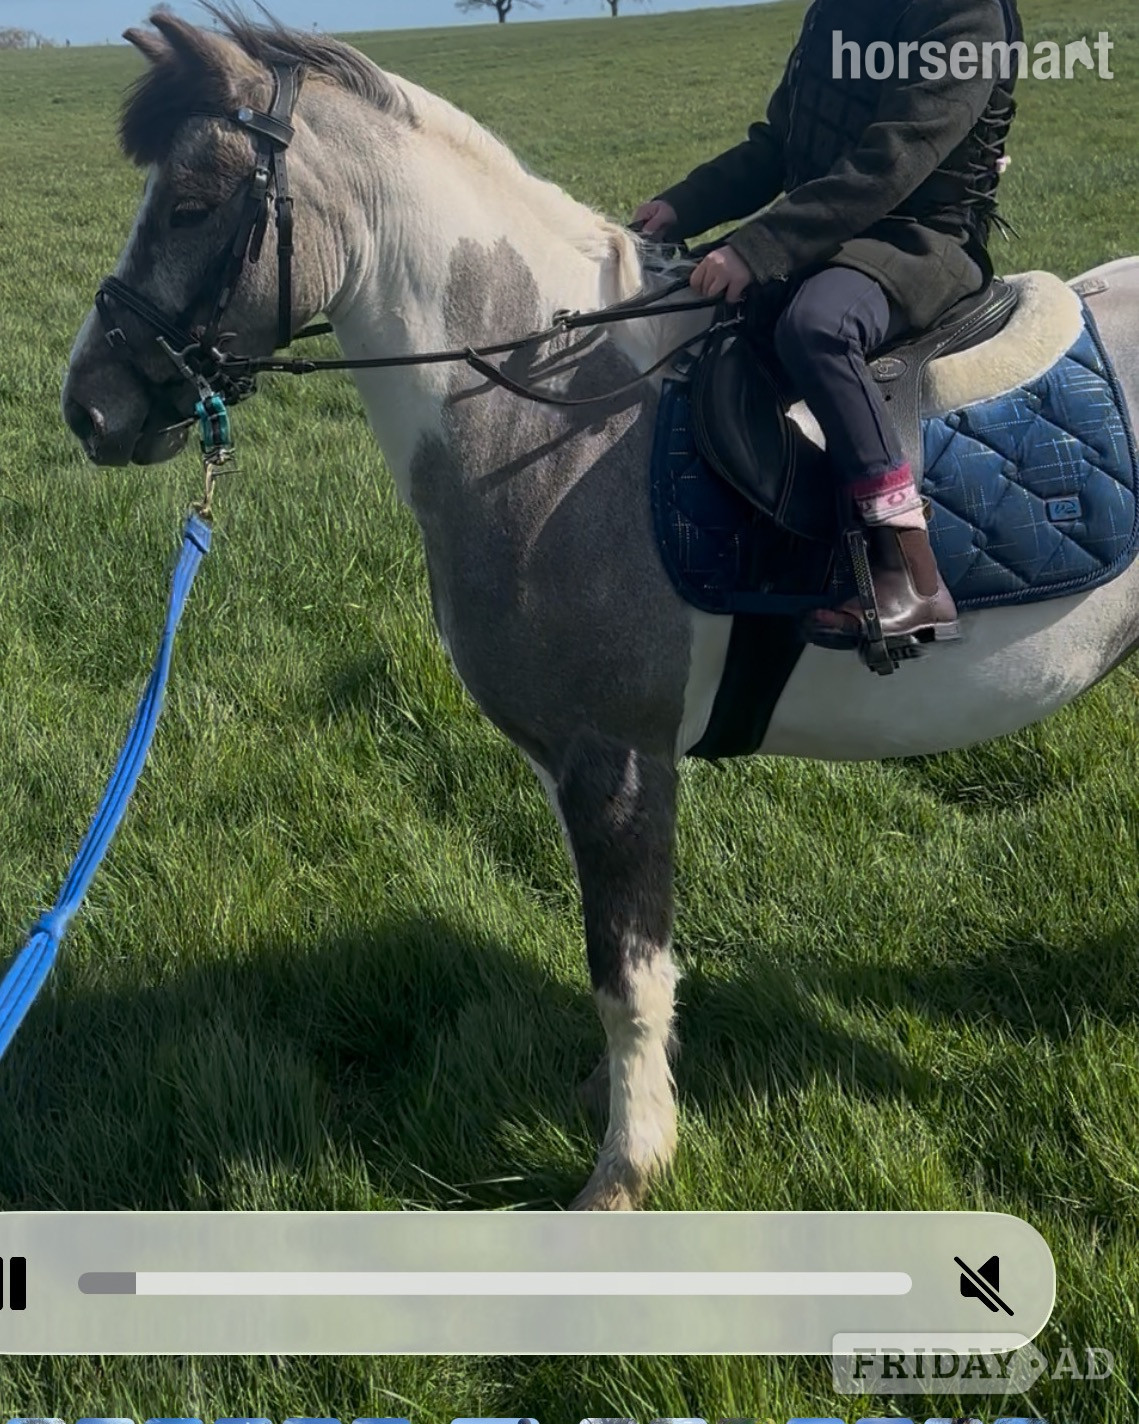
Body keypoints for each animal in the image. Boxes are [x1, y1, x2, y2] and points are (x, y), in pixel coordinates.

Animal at [61, 10, 1139, 1211]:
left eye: (193, 204)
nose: (87, 406)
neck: (559, 417)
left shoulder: (616, 759)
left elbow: (625, 968)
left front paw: (626, 1169)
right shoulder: (563, 762)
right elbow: (617, 958)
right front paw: (618, 1099)